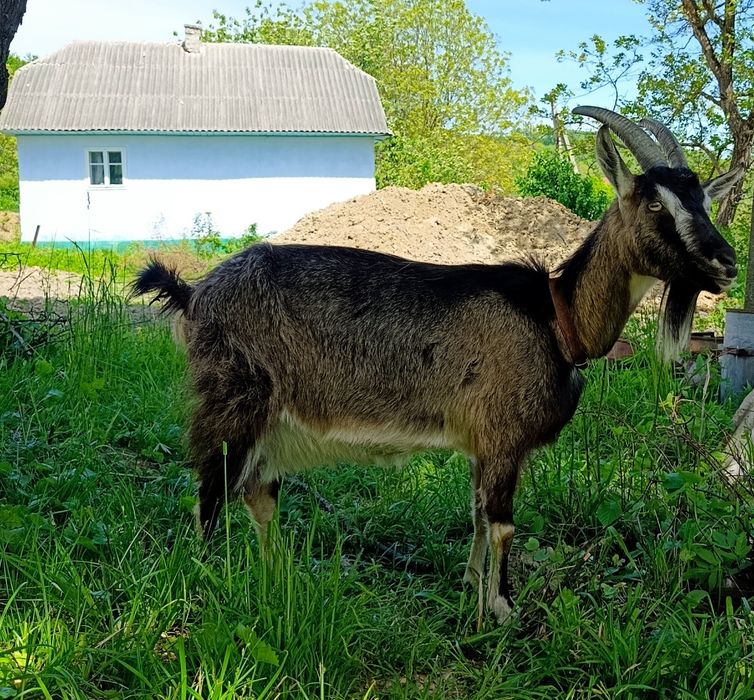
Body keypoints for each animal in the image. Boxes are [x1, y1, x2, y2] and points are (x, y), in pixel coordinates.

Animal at [132, 107, 742, 623]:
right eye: (655, 203)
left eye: (702, 201)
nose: (726, 261)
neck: (554, 315)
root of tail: (193, 293)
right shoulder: (503, 436)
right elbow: (502, 524)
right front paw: (501, 610)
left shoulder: (481, 443)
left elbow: (476, 517)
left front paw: (471, 587)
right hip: (232, 397)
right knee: (211, 491)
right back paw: (210, 581)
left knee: (257, 493)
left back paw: (277, 577)